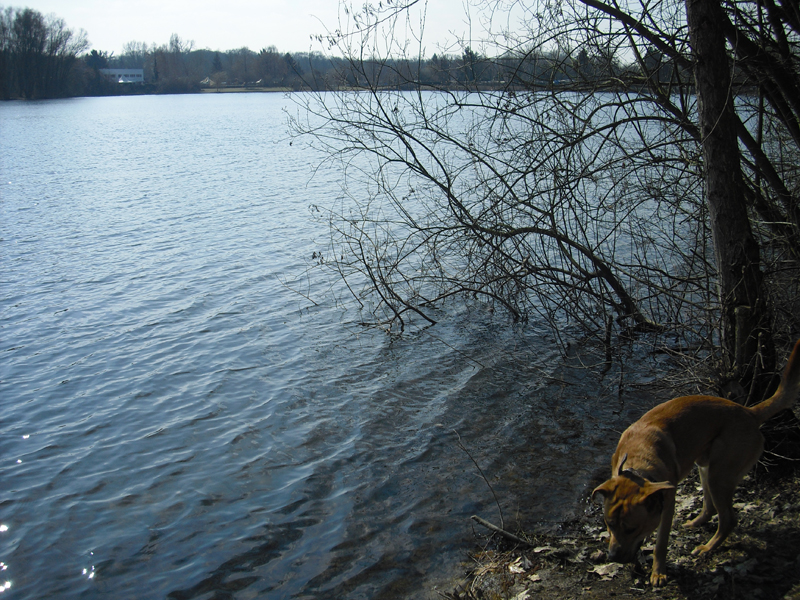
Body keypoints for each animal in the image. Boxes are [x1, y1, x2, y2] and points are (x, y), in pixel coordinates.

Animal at [592, 342, 800, 584]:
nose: (612, 557)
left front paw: (658, 572)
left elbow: (660, 544)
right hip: (706, 466)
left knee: (728, 519)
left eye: (632, 529)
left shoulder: (667, 506)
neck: (638, 463)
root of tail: (749, 412)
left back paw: (708, 547)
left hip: (720, 474)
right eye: (609, 524)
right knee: (710, 506)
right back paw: (696, 523)